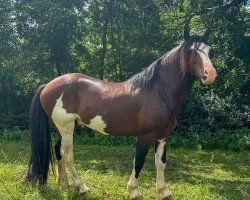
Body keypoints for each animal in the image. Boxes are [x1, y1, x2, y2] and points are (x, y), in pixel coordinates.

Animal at [23, 28, 217, 200]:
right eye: (191, 50)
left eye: (210, 51)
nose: (211, 74)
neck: (158, 92)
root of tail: (47, 85)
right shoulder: (146, 135)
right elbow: (139, 162)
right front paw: (134, 191)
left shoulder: (163, 136)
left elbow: (160, 163)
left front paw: (163, 192)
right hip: (66, 128)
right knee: (68, 155)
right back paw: (81, 187)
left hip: (64, 128)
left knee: (59, 151)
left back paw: (64, 184)